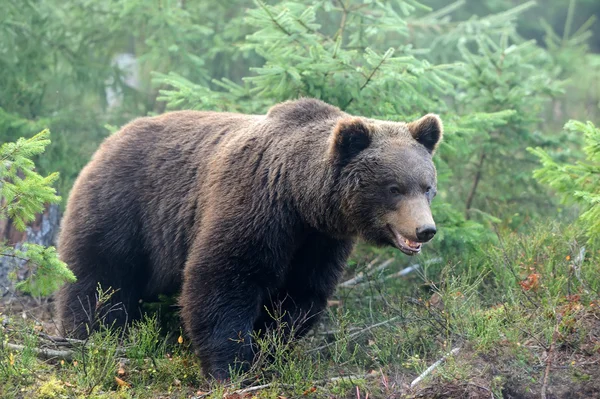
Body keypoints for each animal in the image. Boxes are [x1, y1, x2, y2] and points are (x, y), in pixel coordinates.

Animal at [55, 98, 440, 380]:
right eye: (393, 188)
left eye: (426, 186)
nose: (425, 230)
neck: (300, 198)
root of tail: (109, 140)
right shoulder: (255, 205)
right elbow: (223, 278)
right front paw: (232, 366)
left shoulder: (319, 242)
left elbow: (299, 295)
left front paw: (270, 351)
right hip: (124, 208)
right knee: (99, 275)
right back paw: (93, 335)